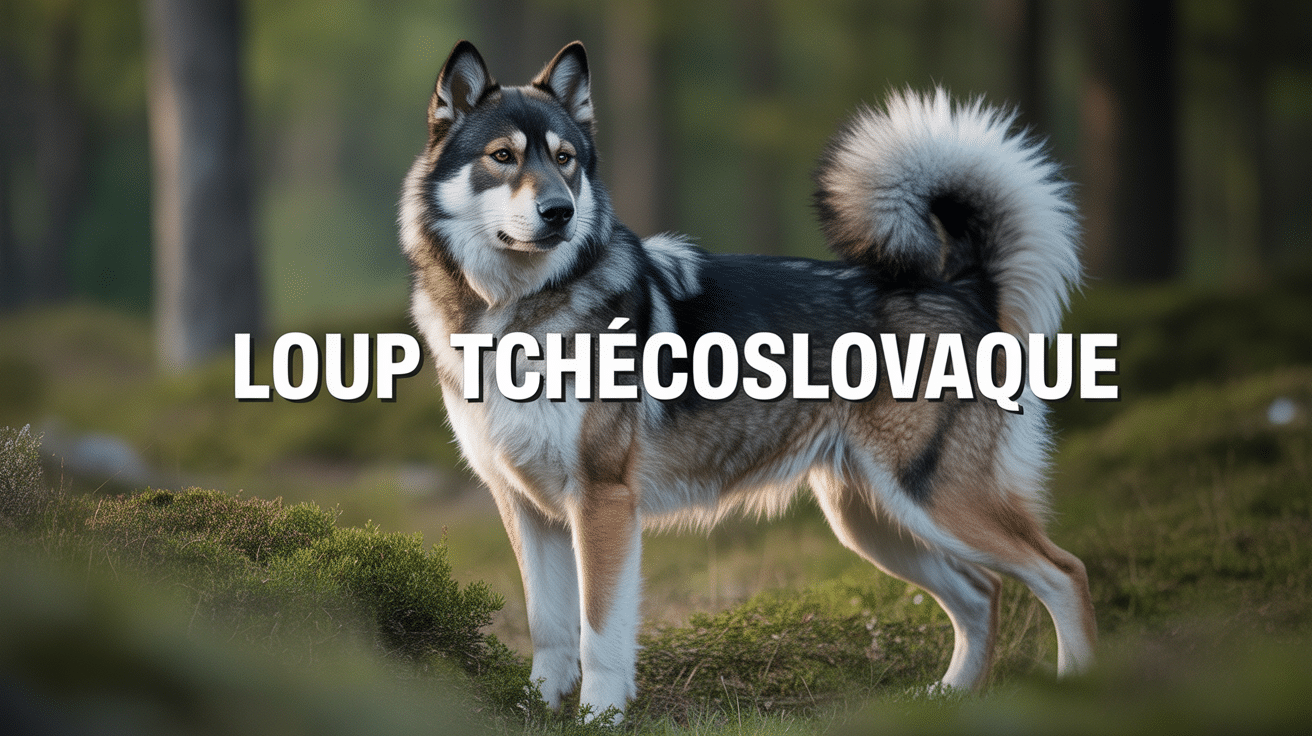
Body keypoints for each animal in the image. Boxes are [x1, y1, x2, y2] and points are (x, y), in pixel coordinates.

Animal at [400, 40, 1094, 716]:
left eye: (564, 159)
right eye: (503, 157)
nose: (559, 212)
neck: (515, 311)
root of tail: (963, 286)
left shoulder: (602, 503)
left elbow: (599, 635)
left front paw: (600, 720)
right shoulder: (525, 506)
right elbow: (548, 628)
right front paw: (538, 709)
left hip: (931, 501)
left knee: (1064, 572)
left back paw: (1080, 689)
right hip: (874, 522)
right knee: (983, 592)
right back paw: (947, 699)